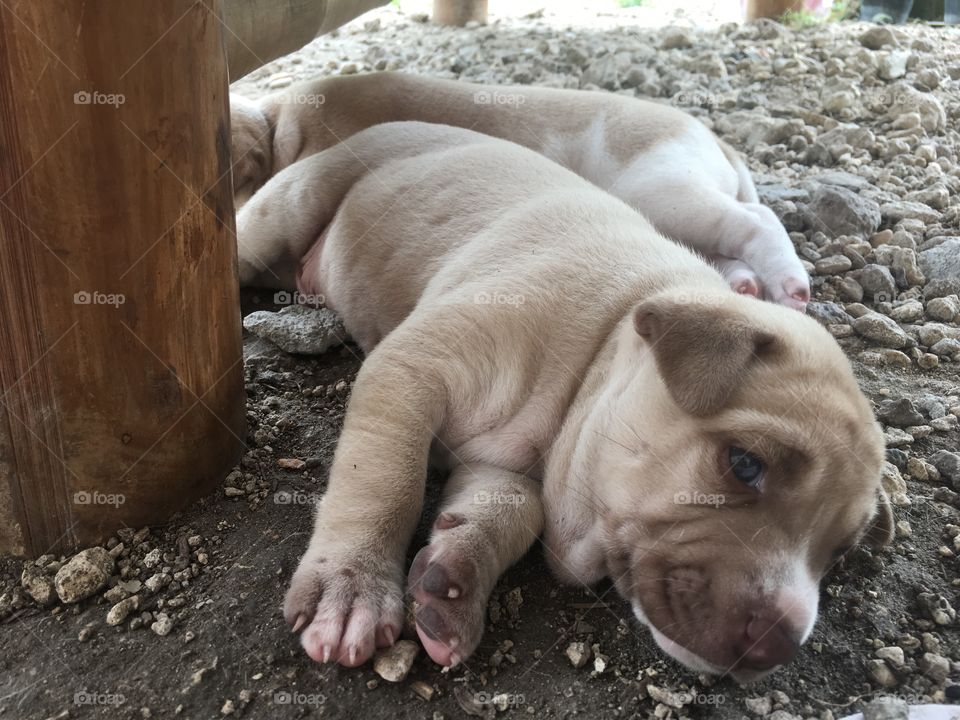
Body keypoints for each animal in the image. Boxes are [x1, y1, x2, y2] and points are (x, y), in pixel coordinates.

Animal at [232, 71, 808, 310]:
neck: (281, 125)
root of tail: (715, 140)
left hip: (659, 190)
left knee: (756, 222)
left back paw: (791, 286)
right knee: (720, 244)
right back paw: (744, 286)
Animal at [240, 119, 892, 680]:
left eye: (839, 554)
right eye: (744, 464)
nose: (782, 642)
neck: (592, 360)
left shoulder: (501, 463)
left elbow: (512, 507)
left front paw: (455, 577)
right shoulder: (411, 368)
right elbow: (384, 481)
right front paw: (351, 585)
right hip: (290, 206)